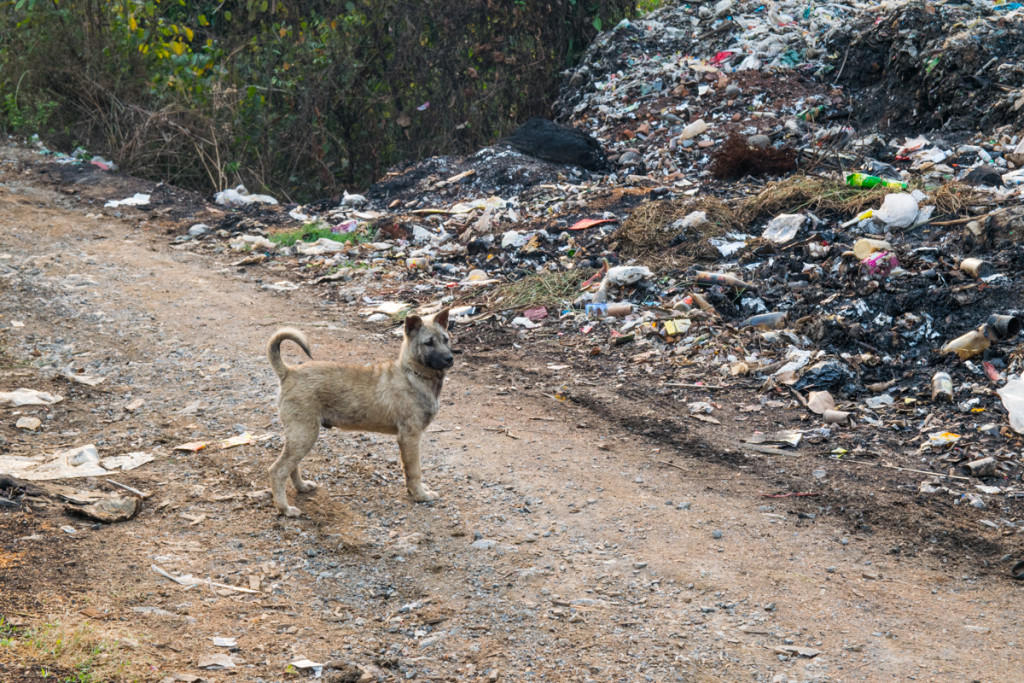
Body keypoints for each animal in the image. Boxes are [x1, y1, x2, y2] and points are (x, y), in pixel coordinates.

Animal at [268, 309, 452, 518]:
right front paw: (421, 495)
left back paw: (301, 487)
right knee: (277, 470)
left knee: (291, 466)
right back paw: (284, 509)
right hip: (304, 434)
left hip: (300, 436)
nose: (450, 359)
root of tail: (288, 372)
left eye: (445, 339)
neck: (412, 374)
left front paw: (417, 491)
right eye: (428, 342)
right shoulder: (409, 437)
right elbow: (414, 470)